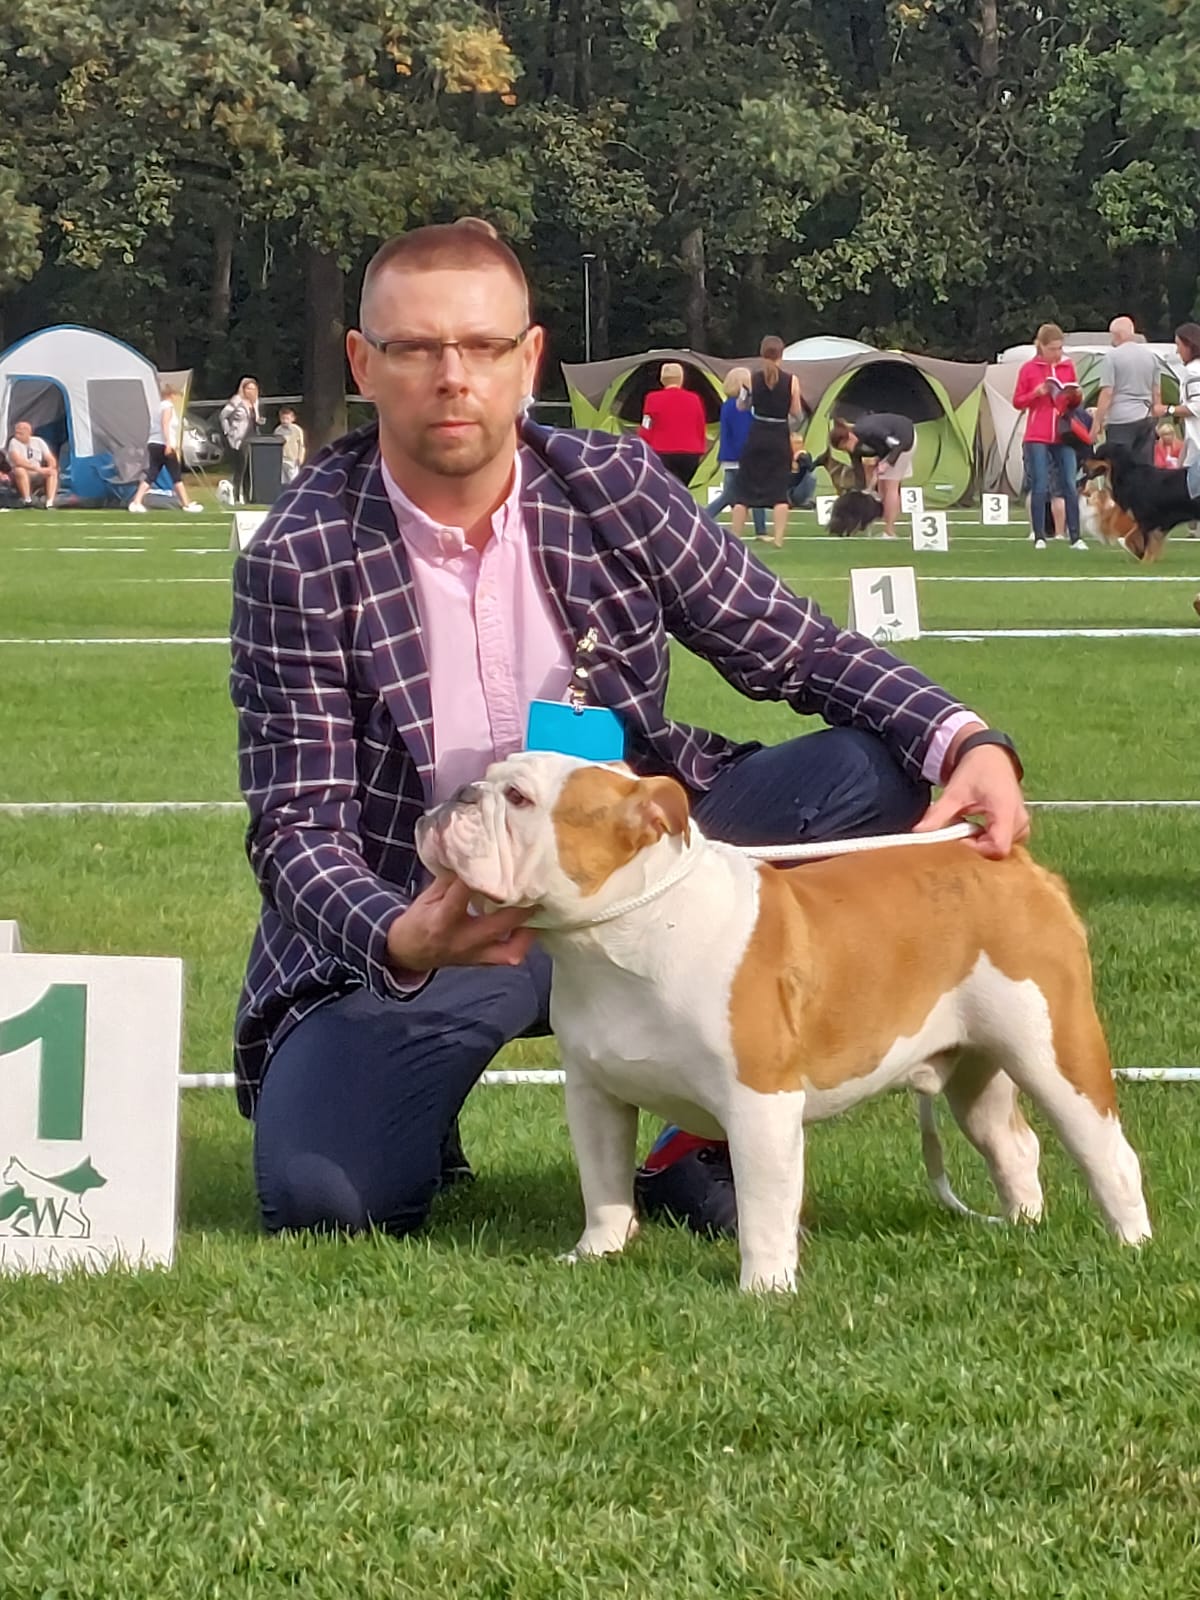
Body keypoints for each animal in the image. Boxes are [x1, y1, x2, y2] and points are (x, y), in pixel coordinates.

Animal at [416, 752, 1151, 1292]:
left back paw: (1132, 1243)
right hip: (978, 1067)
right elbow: (603, 1182)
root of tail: (1010, 863)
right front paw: (598, 1252)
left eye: (518, 799)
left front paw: (765, 1286)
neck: (625, 936)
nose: (459, 792)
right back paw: (1024, 1225)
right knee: (1013, 1144)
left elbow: (764, 1204)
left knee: (1108, 1151)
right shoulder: (595, 1094)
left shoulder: (760, 1104)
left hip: (1054, 1048)